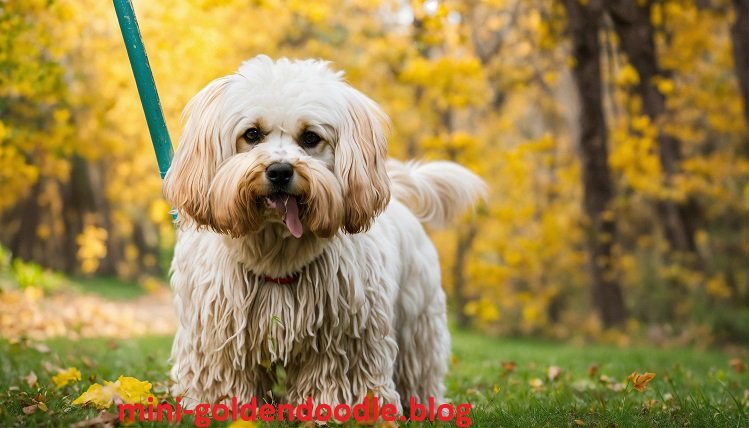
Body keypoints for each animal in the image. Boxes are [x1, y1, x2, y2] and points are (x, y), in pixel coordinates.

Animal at [164, 55, 486, 412]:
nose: (279, 171)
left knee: (420, 365)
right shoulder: (219, 336)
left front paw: (335, 410)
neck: (275, 252)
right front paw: (222, 407)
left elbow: (335, 378)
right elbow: (224, 374)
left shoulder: (343, 338)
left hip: (417, 319)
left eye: (309, 138)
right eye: (252, 134)